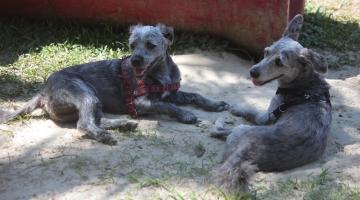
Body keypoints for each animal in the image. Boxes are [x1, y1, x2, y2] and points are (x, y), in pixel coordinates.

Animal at [0, 24, 228, 145]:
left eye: (151, 45)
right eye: (132, 45)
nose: (135, 61)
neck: (159, 74)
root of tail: (43, 91)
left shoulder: (171, 91)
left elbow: (195, 95)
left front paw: (214, 104)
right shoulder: (141, 103)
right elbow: (167, 106)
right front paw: (185, 114)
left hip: (92, 101)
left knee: (95, 120)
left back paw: (124, 124)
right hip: (85, 93)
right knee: (84, 124)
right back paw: (105, 135)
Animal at [211, 14, 332, 192]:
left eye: (279, 62)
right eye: (266, 52)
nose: (252, 72)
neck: (305, 84)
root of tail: (246, 152)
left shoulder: (267, 116)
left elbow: (251, 111)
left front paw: (237, 108)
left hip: (241, 129)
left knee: (217, 131)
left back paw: (219, 122)